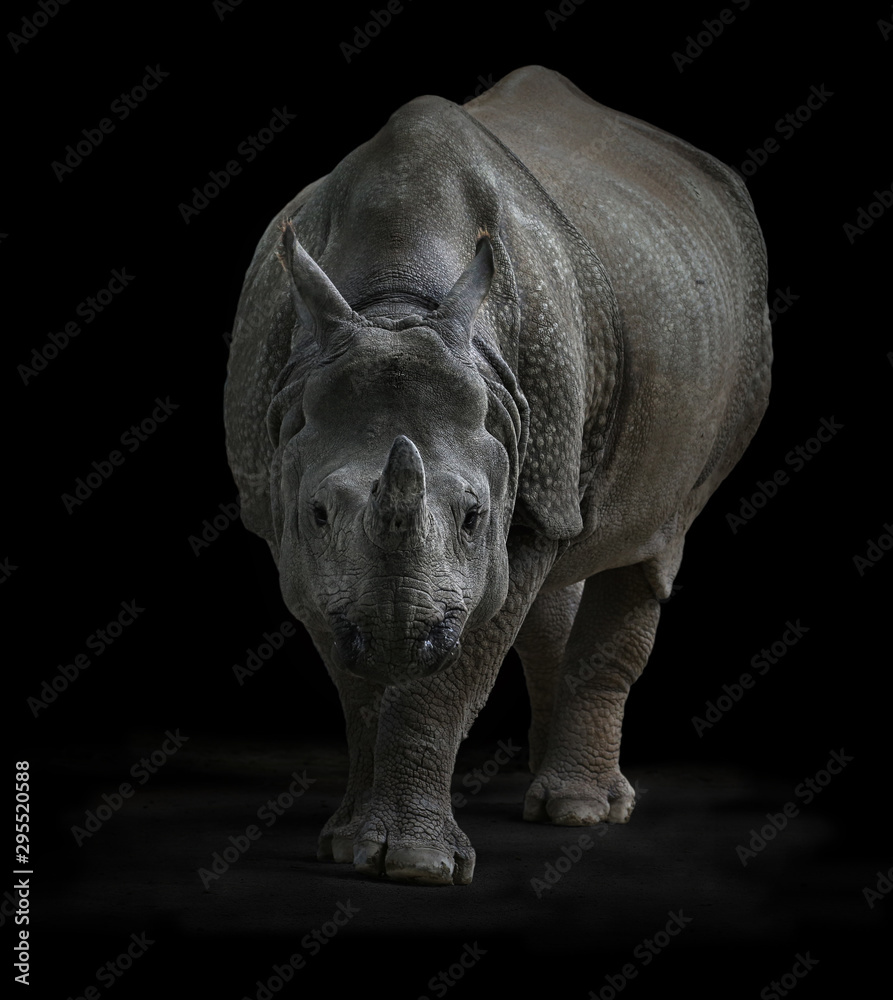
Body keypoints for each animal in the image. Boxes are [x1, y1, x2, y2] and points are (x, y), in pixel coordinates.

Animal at [224, 66, 771, 885]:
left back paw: (580, 811)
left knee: (651, 543)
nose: (402, 635)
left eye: (474, 515)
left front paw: (413, 865)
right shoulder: (281, 501)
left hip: (733, 348)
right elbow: (352, 670)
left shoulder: (525, 488)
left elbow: (455, 673)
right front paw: (348, 843)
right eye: (318, 512)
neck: (396, 304)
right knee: (561, 568)